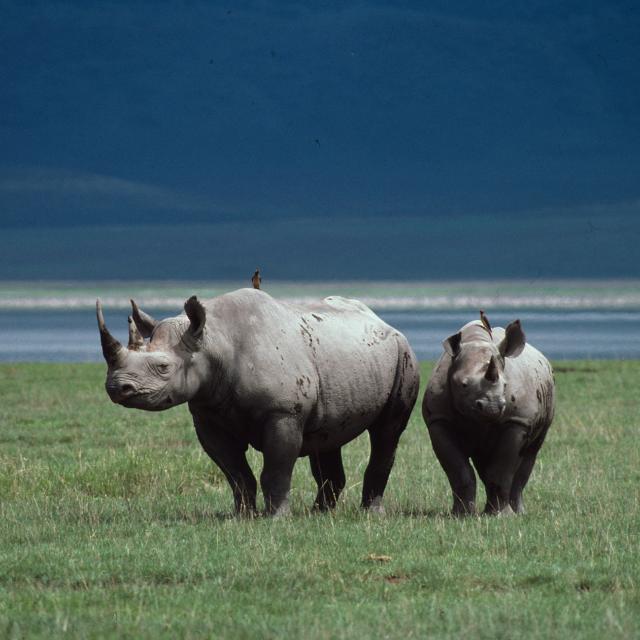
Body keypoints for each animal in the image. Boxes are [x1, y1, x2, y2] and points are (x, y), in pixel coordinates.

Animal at [97, 288, 419, 516]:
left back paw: (369, 514)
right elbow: (235, 471)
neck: (214, 342)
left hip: (403, 354)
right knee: (328, 436)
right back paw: (319, 514)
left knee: (387, 432)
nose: (117, 388)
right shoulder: (208, 413)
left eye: (163, 367)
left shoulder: (283, 412)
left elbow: (275, 469)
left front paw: (276, 518)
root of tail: (380, 320)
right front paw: (243, 516)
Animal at [422, 312, 555, 516]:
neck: (476, 341)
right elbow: (458, 470)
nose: (492, 407)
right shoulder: (438, 420)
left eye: (506, 385)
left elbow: (501, 470)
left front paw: (502, 517)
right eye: (463, 385)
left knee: (530, 454)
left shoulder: (516, 421)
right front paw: (461, 515)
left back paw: (518, 512)